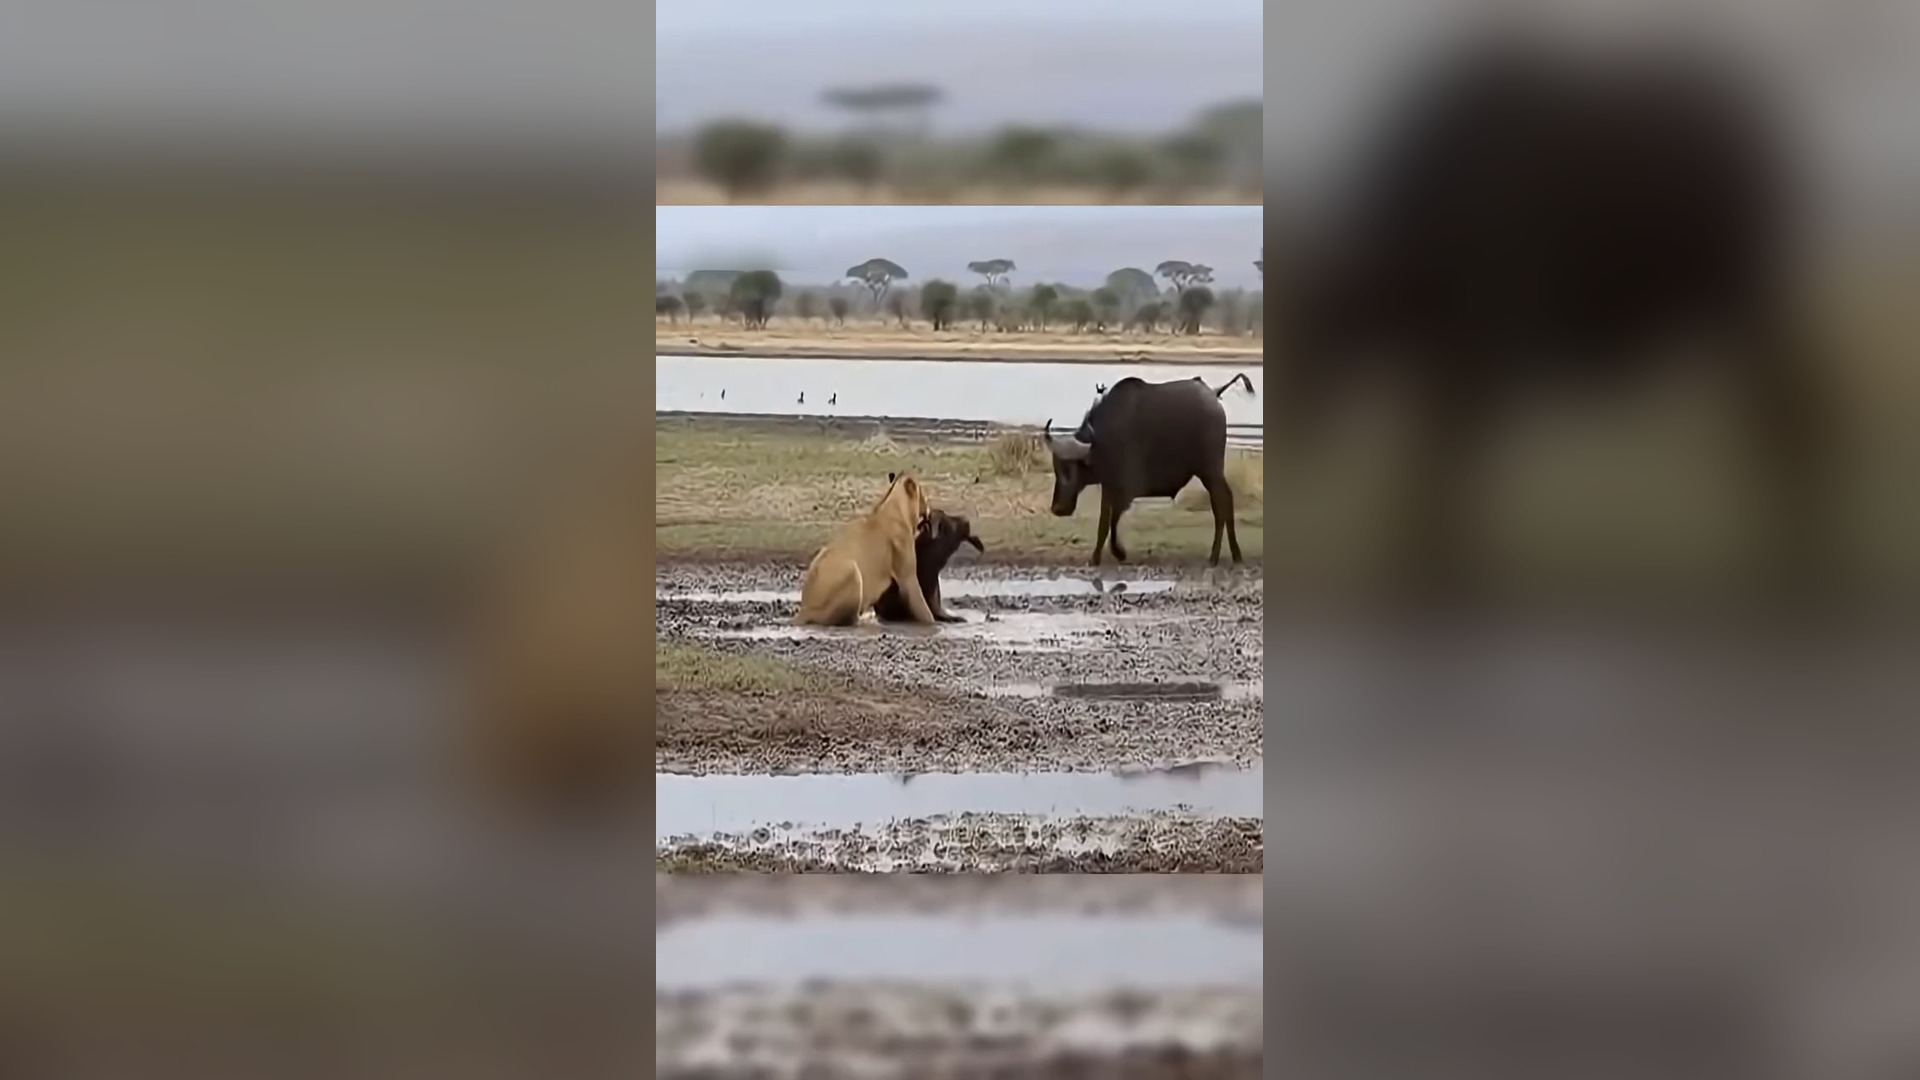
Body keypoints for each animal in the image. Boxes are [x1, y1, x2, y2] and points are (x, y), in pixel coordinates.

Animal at [1045, 373, 1254, 566]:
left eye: (1068, 469)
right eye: (1057, 468)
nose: (1057, 508)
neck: (1100, 441)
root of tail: (1213, 394)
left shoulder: (1122, 489)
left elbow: (1110, 521)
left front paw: (1113, 554)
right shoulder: (1110, 486)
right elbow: (1106, 522)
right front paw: (1104, 555)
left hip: (1211, 471)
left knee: (1222, 503)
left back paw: (1216, 556)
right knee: (1225, 502)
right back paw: (1234, 554)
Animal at [1273, 33, 1830, 597]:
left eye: (1302, 333)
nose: (1286, 431)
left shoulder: (1478, 354)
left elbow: (1440, 469)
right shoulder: (1453, 360)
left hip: (1748, 301)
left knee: (1789, 419)